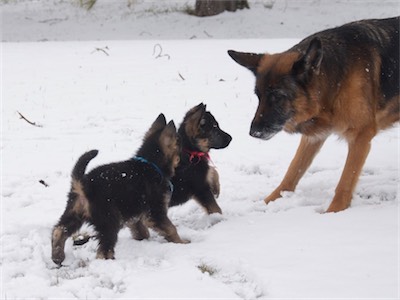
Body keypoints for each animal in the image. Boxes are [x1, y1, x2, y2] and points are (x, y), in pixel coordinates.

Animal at [51, 113, 186, 266]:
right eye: (180, 150)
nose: (189, 160)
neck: (151, 163)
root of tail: (85, 185)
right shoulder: (155, 212)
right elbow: (171, 228)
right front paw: (182, 243)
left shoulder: (136, 214)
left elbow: (141, 230)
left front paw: (143, 239)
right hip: (110, 220)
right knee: (103, 251)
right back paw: (109, 262)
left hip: (74, 213)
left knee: (59, 230)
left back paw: (57, 256)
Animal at [228, 17, 400, 213]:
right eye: (259, 96)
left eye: (278, 96)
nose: (253, 133)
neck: (334, 83)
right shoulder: (313, 137)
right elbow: (292, 171)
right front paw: (268, 203)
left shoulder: (360, 138)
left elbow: (345, 181)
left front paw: (333, 213)